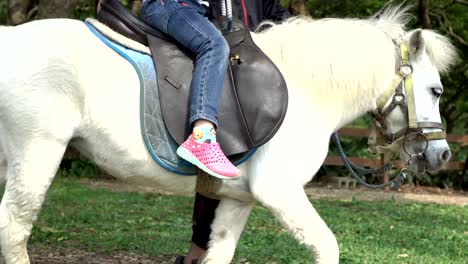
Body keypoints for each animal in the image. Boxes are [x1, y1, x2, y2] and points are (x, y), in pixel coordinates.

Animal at [0, 5, 456, 264]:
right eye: (435, 90)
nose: (442, 155)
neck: (305, 87)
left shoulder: (238, 199)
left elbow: (219, 253)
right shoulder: (280, 191)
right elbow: (327, 247)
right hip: (37, 154)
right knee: (13, 232)